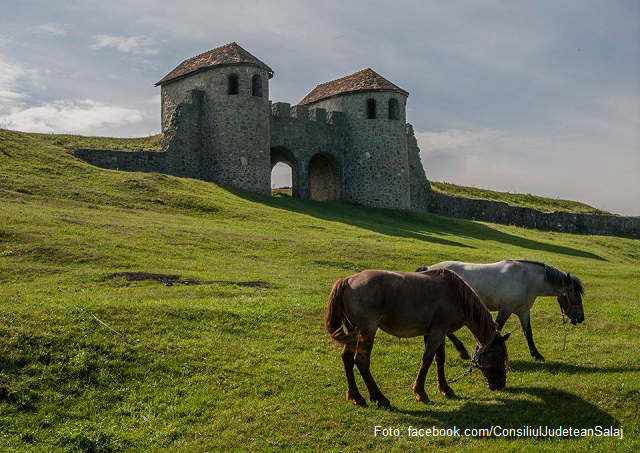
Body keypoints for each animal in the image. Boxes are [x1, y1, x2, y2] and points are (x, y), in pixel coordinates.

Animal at [324, 268, 510, 406]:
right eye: (500, 356)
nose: (501, 384)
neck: (456, 295)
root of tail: (348, 280)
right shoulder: (437, 332)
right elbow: (427, 359)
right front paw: (421, 392)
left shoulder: (439, 332)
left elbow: (439, 359)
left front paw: (445, 389)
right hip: (367, 331)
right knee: (361, 361)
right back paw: (379, 398)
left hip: (352, 332)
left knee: (347, 358)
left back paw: (355, 396)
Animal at [416, 258, 584, 360]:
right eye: (575, 294)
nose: (581, 318)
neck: (526, 279)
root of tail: (428, 269)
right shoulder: (506, 310)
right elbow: (496, 329)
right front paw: (479, 351)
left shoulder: (523, 311)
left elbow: (528, 333)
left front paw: (536, 354)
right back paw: (461, 350)